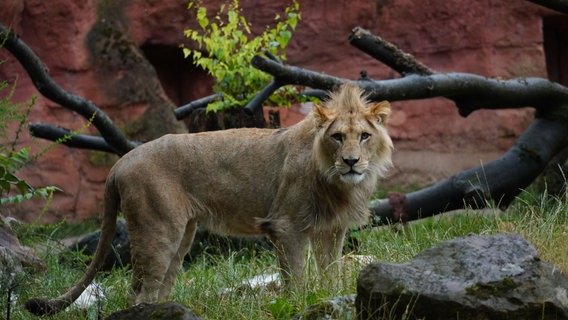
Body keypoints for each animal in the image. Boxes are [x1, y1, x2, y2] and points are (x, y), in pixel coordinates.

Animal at [24, 82, 392, 316]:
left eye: (364, 136)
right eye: (337, 137)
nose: (351, 161)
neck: (335, 180)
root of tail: (121, 161)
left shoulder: (331, 228)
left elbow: (330, 274)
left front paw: (329, 298)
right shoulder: (286, 226)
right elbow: (296, 279)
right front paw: (299, 305)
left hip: (182, 236)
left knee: (159, 288)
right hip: (157, 231)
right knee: (137, 292)